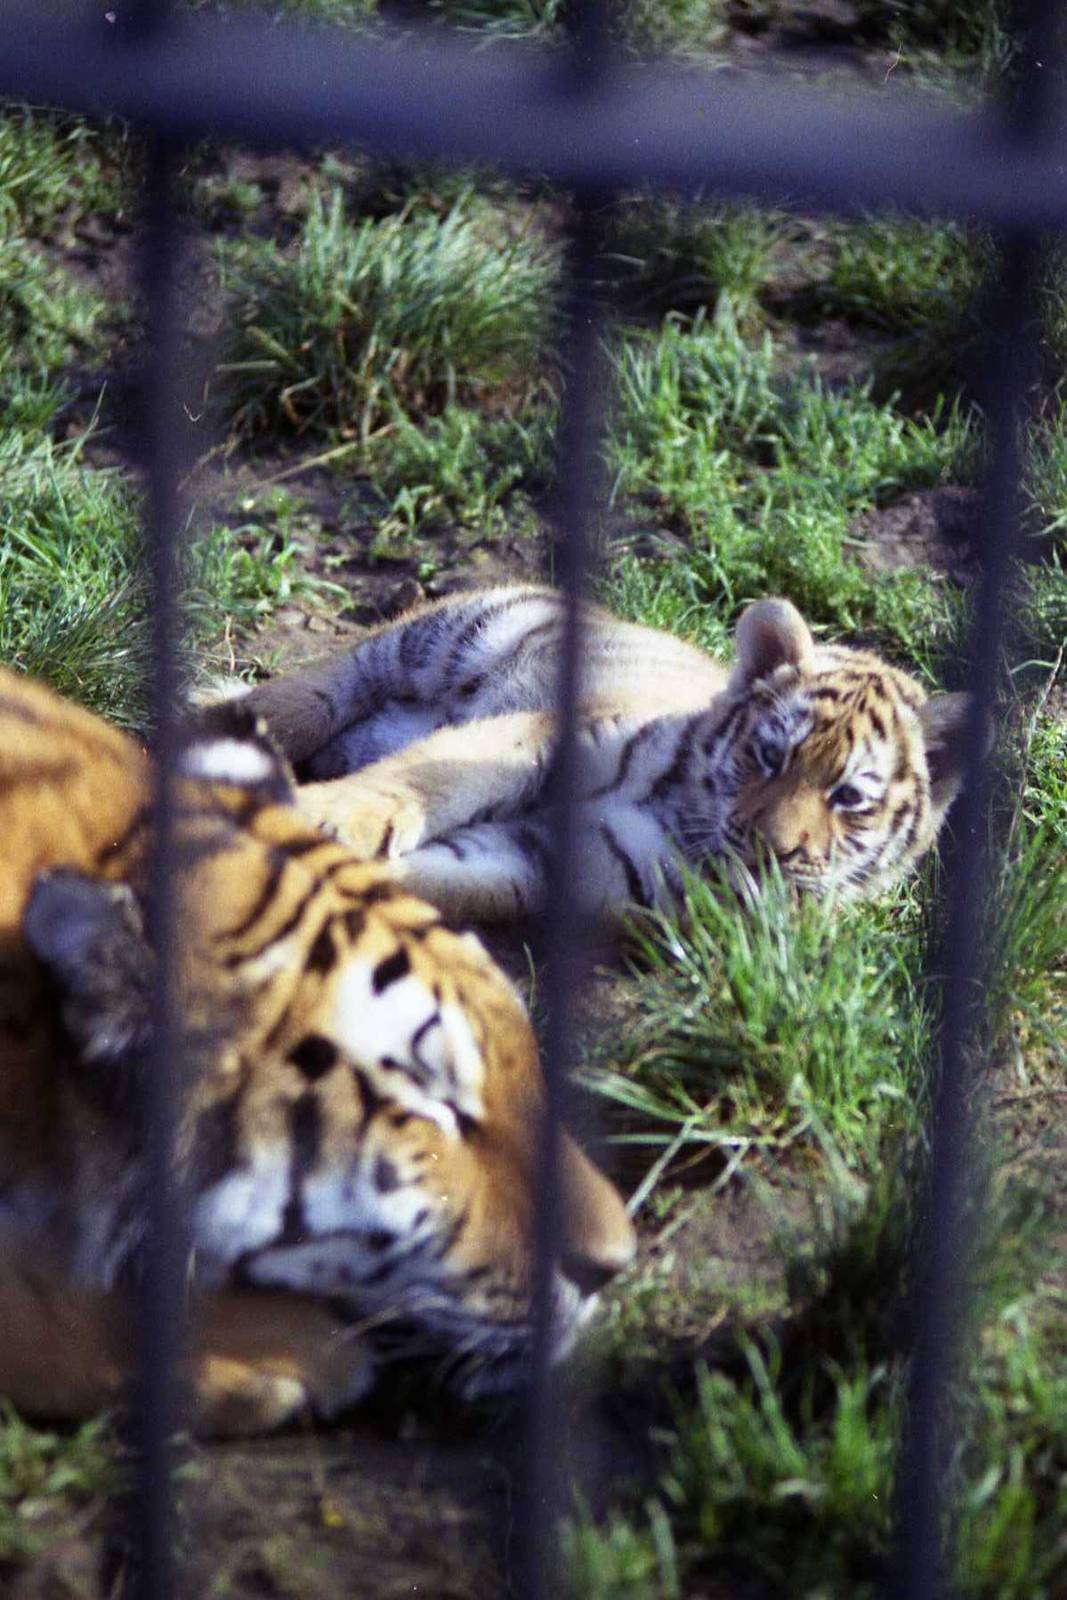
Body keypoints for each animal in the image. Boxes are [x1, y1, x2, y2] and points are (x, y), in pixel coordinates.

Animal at [218, 584, 974, 924]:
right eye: (769, 755)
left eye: (848, 798)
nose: (769, 844)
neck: (682, 817)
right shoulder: (544, 734)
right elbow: (428, 778)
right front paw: (328, 817)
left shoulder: (546, 857)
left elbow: (445, 876)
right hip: (436, 640)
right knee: (321, 687)